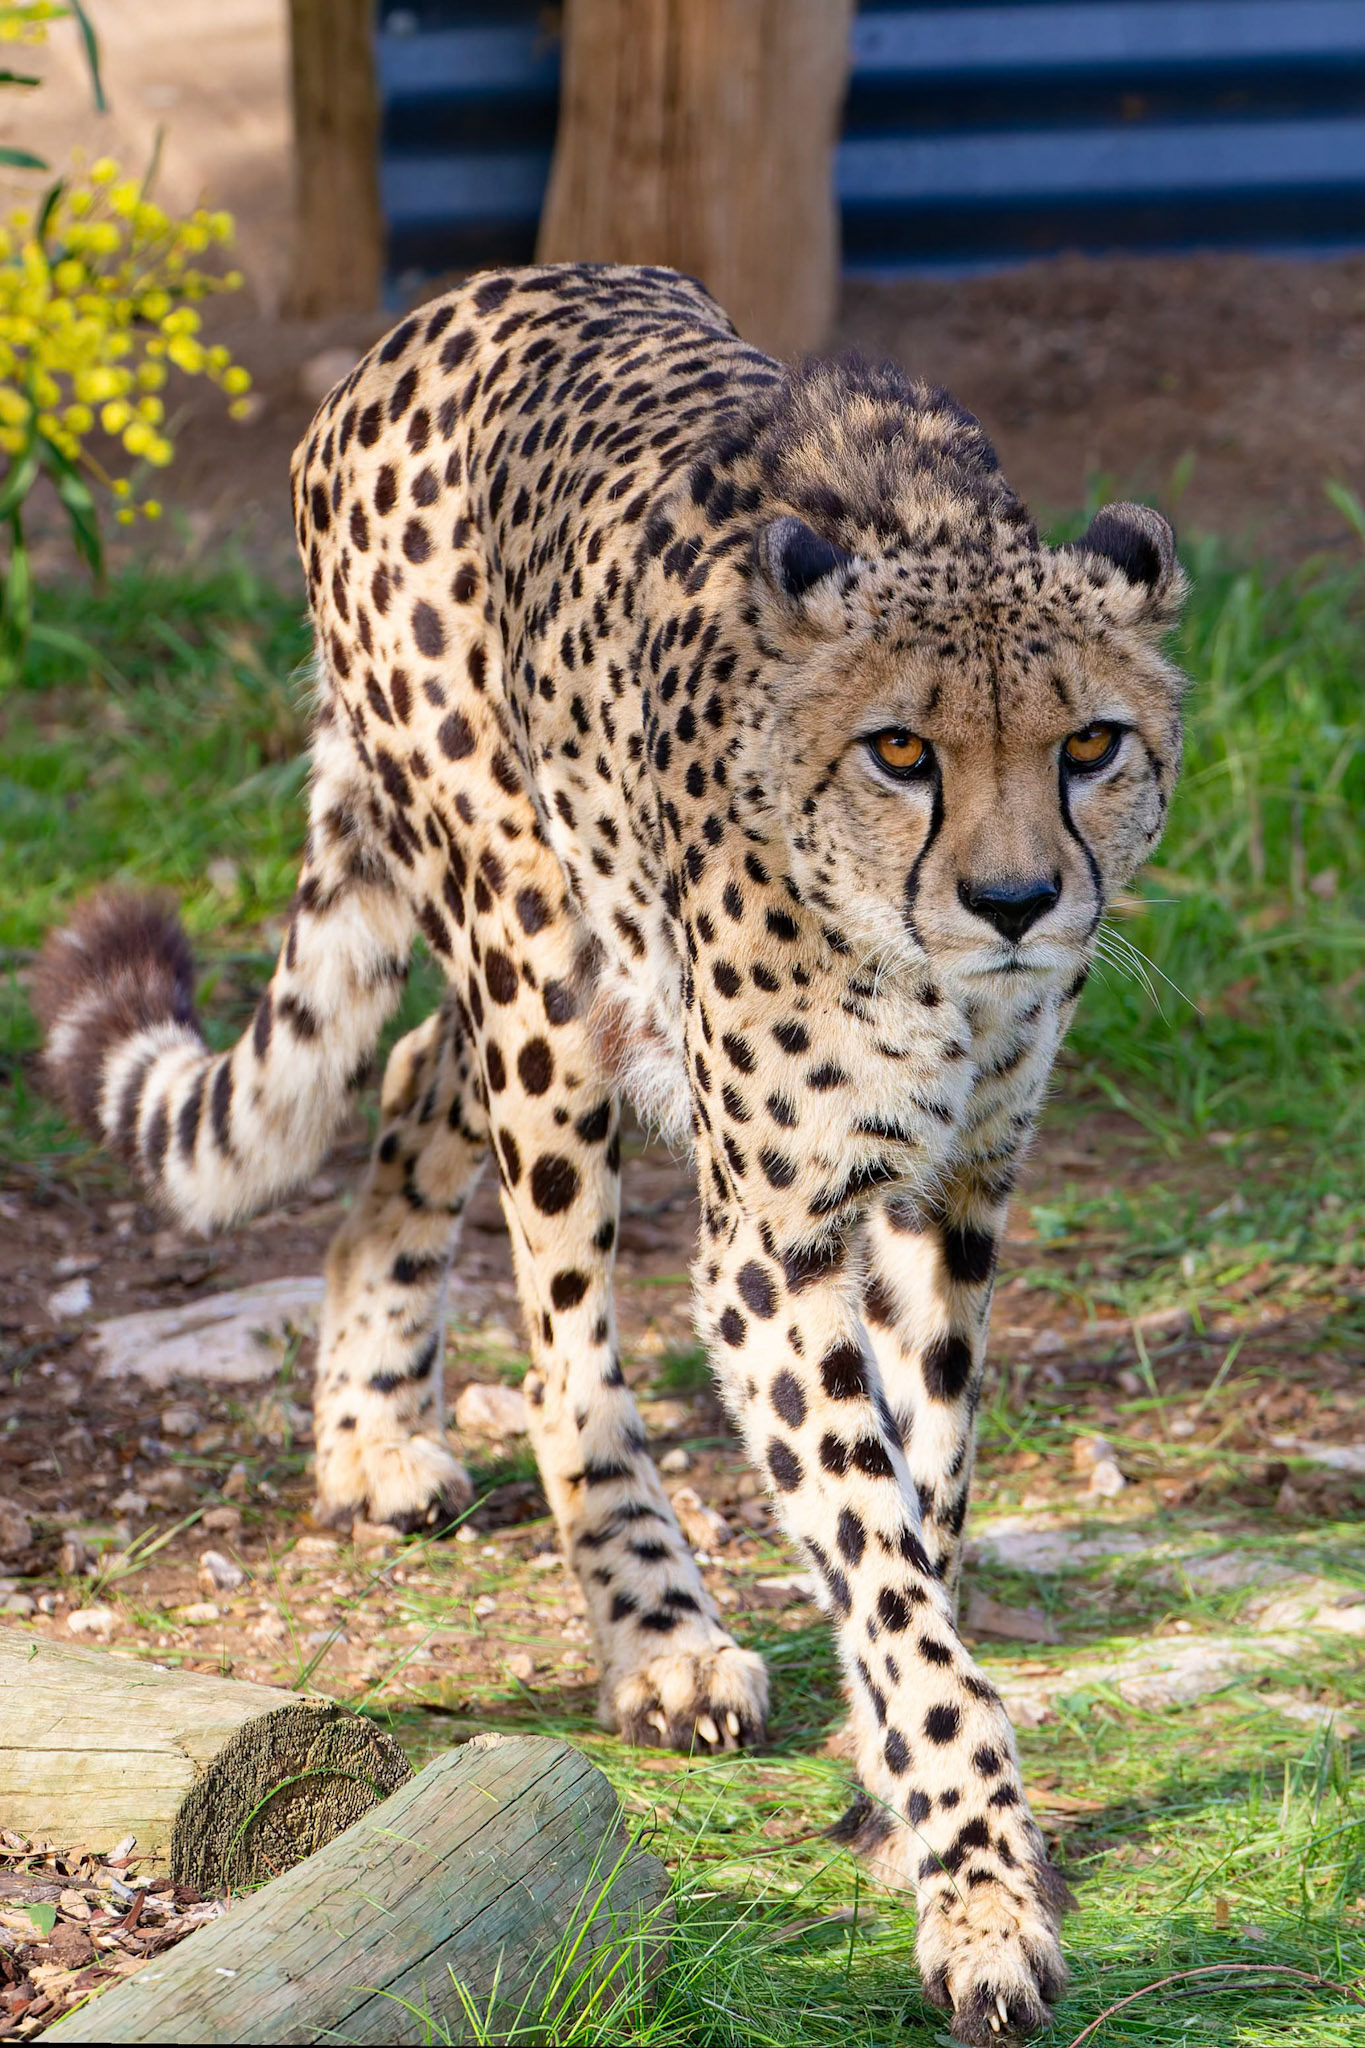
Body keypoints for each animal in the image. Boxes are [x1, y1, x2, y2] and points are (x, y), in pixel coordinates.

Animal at [36, 262, 1187, 2044]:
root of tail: (458, 302)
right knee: (565, 1338)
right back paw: (655, 1634)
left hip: (554, 979)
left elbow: (926, 1500)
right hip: (526, 949)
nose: (1015, 903)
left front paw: (895, 1791)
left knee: (412, 1078)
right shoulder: (772, 1240)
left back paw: (372, 1435)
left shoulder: (955, 1200)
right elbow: (884, 1564)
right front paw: (973, 1878)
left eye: (1089, 745)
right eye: (902, 751)